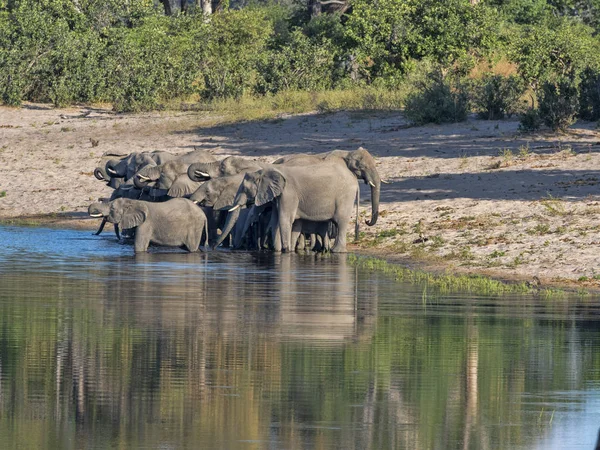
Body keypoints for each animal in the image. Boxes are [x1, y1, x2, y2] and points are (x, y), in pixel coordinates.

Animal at [225, 161, 356, 253]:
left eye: (245, 188)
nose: (235, 248)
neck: (265, 171)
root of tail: (353, 177)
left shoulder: (289, 193)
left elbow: (285, 219)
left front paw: (286, 250)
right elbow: (275, 220)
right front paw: (278, 251)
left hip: (345, 196)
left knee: (341, 221)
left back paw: (337, 251)